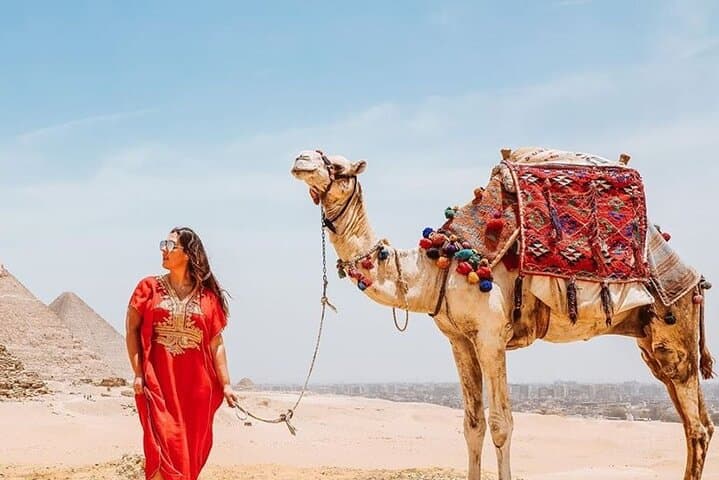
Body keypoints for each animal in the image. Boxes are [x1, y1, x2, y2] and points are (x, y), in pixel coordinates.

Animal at [290, 148, 715, 480]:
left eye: (338, 165)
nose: (300, 159)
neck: (437, 268)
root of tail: (694, 277)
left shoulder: (491, 335)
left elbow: (501, 424)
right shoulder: (459, 340)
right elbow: (472, 424)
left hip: (673, 328)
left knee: (696, 426)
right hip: (649, 340)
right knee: (697, 423)